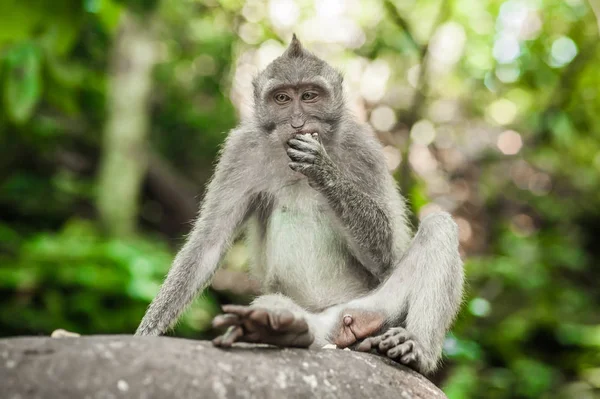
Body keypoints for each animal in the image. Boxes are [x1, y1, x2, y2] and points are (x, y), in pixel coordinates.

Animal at [137, 34, 464, 376]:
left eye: (309, 96)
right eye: (282, 98)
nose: (297, 122)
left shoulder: (364, 149)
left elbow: (386, 255)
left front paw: (323, 169)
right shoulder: (240, 153)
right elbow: (208, 244)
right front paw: (147, 332)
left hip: (378, 307)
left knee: (438, 228)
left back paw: (415, 348)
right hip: (317, 327)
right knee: (273, 307)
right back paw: (278, 329)